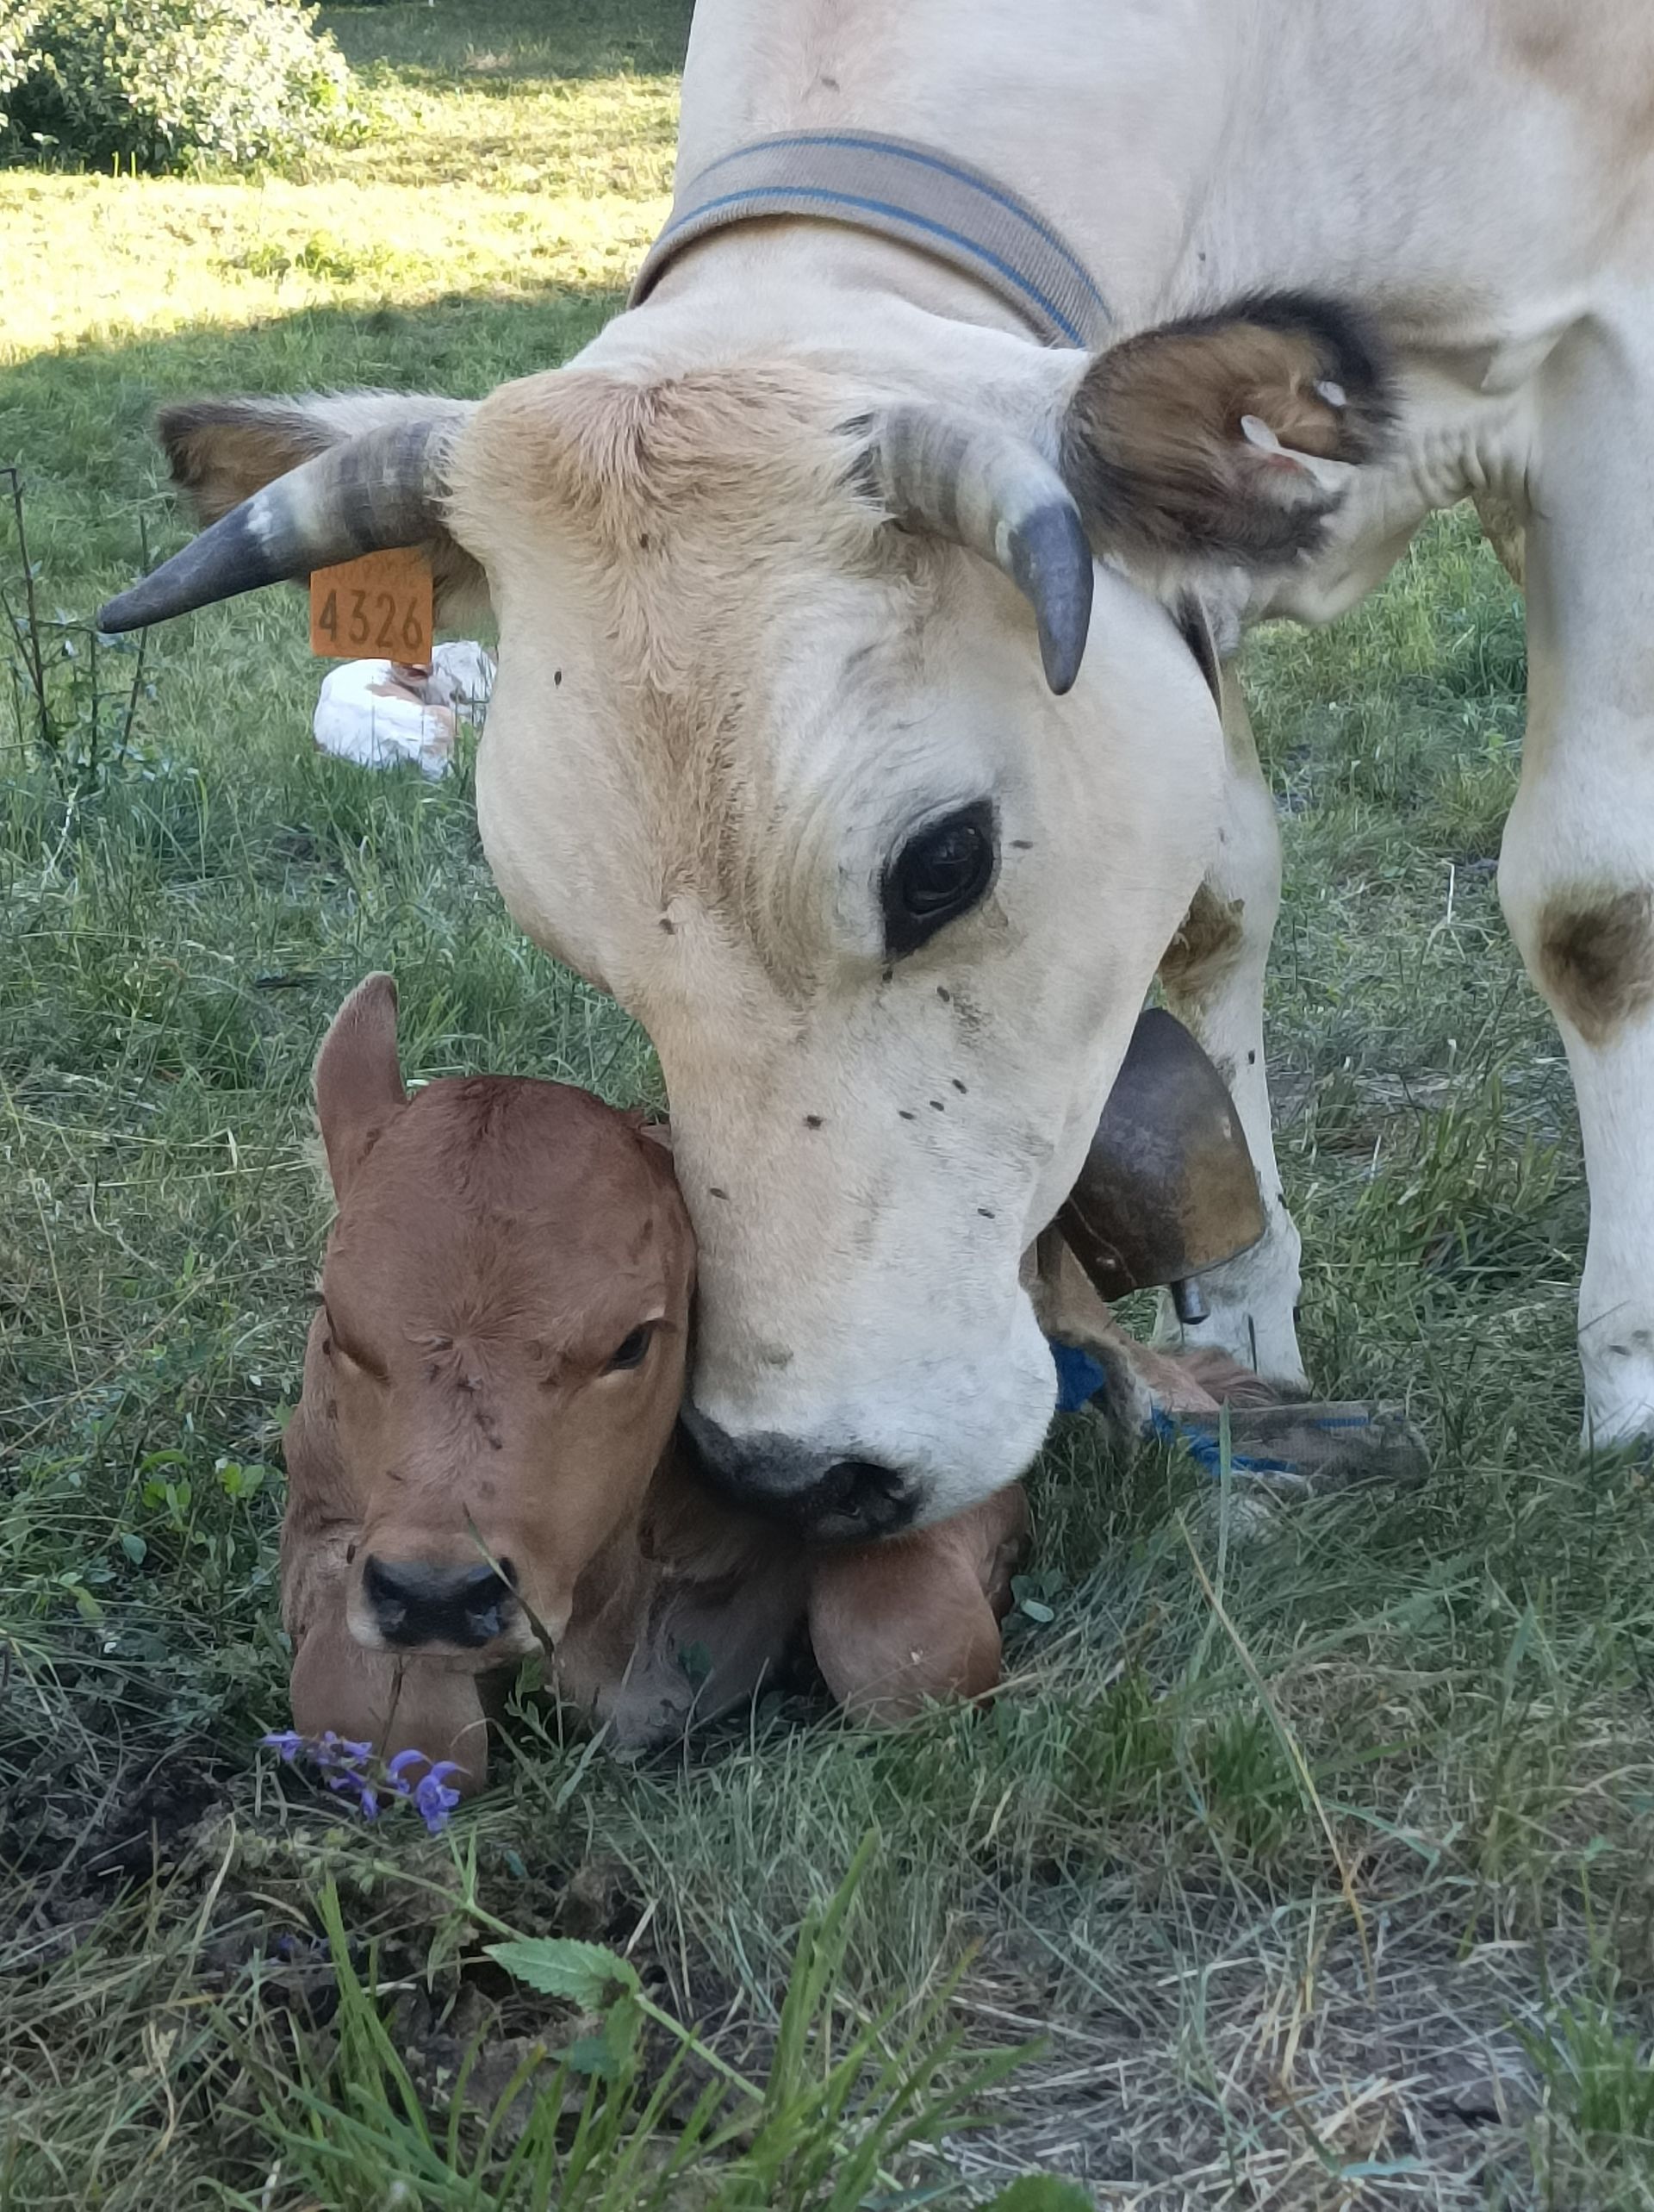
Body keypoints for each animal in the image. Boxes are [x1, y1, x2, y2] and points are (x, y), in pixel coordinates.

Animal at [100, 1, 1654, 1539]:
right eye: (562, 933)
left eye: (941, 863)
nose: (803, 1474)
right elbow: (1217, 909)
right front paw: (1245, 1325)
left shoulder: (1606, 379)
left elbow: (1593, 906)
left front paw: (1632, 1388)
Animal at [284, 974, 1030, 1791]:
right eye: (336, 1322)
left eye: (632, 1342)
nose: (437, 1596)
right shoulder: (320, 1515)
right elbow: (382, 1719)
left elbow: (903, 1641)